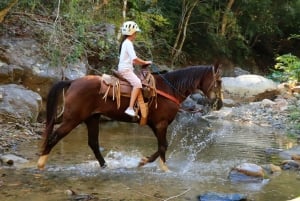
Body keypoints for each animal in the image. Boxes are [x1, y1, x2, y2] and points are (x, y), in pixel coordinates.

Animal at [37, 64, 223, 171]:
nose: (220, 104)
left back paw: (105, 166)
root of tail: (73, 82)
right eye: (219, 81)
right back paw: (40, 164)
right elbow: (163, 146)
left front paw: (151, 164)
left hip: (92, 118)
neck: (169, 89)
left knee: (93, 143)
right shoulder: (161, 124)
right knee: (54, 137)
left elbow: (162, 146)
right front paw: (156, 166)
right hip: (73, 119)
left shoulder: (155, 125)